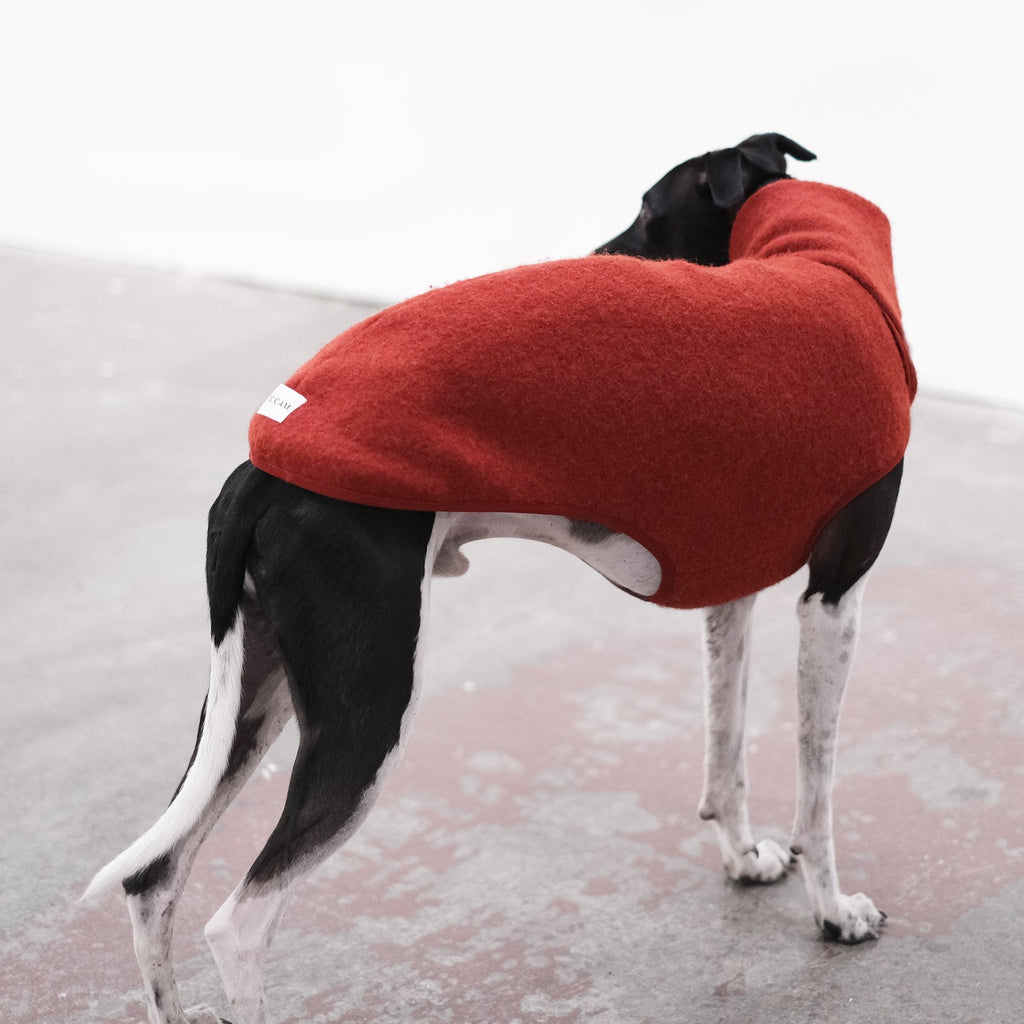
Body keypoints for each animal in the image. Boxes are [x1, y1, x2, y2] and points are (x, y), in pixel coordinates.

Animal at [88, 136, 917, 1024]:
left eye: (650, 215)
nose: (596, 257)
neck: (807, 258)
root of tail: (260, 470)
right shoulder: (832, 596)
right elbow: (817, 782)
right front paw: (834, 912)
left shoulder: (736, 590)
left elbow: (724, 745)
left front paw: (744, 856)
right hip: (366, 711)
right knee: (239, 922)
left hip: (258, 688)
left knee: (153, 877)